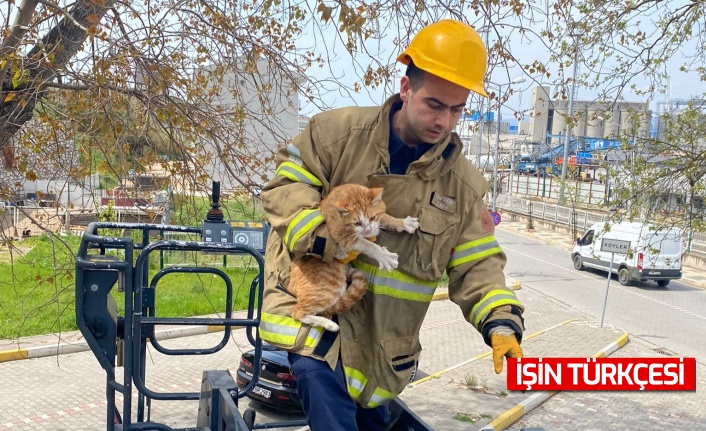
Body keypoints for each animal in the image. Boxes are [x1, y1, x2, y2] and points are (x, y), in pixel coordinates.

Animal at [288, 184, 418, 332]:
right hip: (330, 287)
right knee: (298, 312)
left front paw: (403, 223)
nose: (369, 231)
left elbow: (386, 217)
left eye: (372, 218)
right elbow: (368, 245)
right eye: (357, 223)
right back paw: (328, 324)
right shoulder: (344, 238)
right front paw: (384, 256)